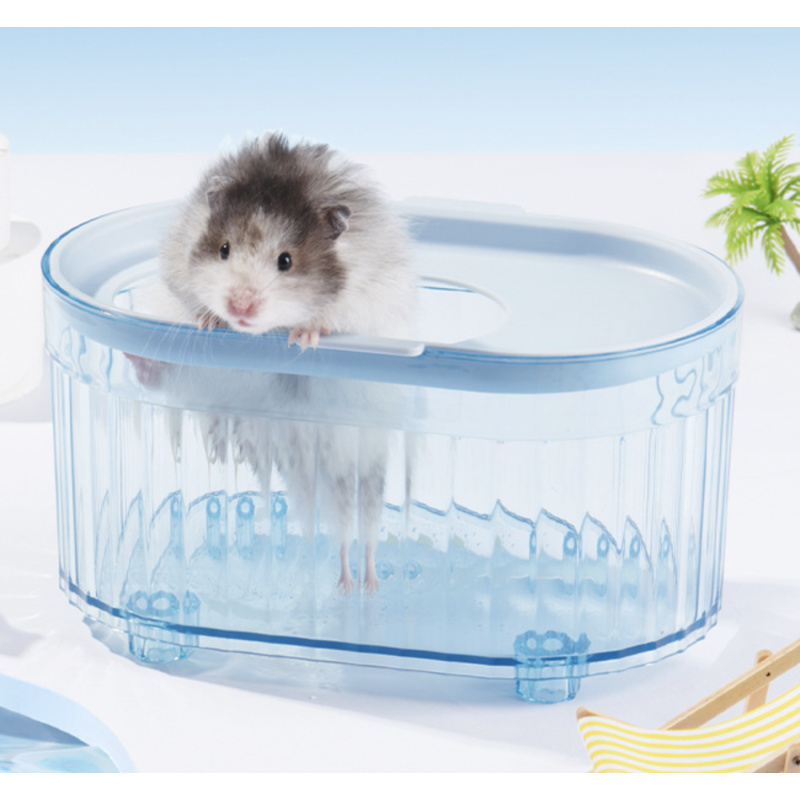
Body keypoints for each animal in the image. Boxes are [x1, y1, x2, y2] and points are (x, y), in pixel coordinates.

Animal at [159, 133, 417, 594]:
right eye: (223, 249)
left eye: (286, 261)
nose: (239, 306)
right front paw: (209, 322)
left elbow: (327, 317)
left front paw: (304, 338)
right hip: (303, 470)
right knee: (335, 527)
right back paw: (338, 580)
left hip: (368, 458)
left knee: (366, 528)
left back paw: (367, 584)